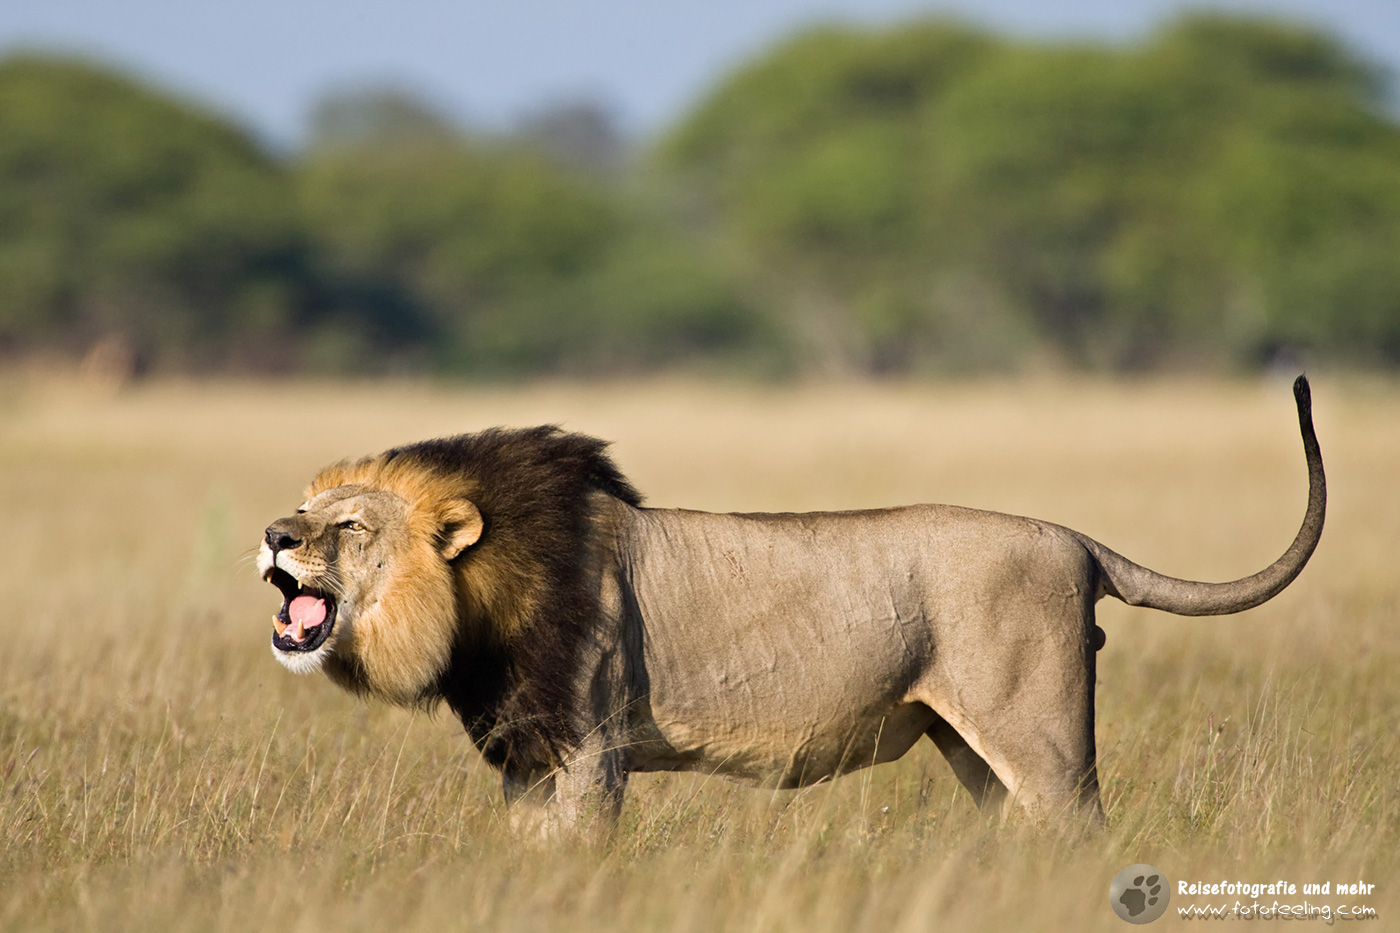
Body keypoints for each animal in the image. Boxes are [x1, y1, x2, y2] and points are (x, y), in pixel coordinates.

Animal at [258, 377, 1324, 830]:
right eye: (304, 513)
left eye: (346, 525)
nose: (273, 534)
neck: (473, 605)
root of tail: (1076, 539)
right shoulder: (526, 754)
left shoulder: (592, 746)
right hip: (972, 747)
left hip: (1048, 736)